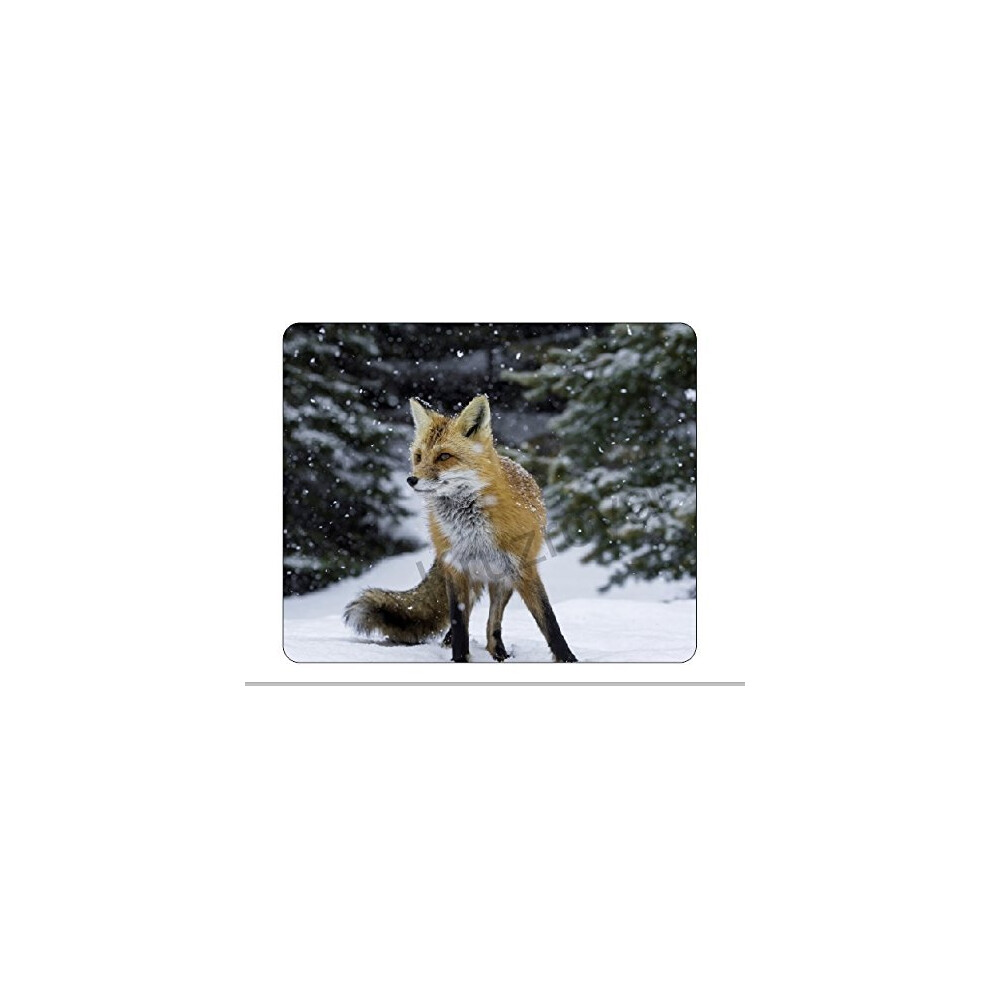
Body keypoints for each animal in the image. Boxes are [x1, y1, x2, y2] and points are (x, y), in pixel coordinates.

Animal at [344, 394, 578, 662]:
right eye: (418, 457)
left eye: (444, 456)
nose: (411, 480)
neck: (473, 532)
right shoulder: (456, 568)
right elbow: (458, 620)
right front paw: (459, 658)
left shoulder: (522, 568)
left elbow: (548, 620)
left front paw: (568, 659)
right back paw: (452, 645)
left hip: (502, 580)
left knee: (493, 622)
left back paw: (498, 653)